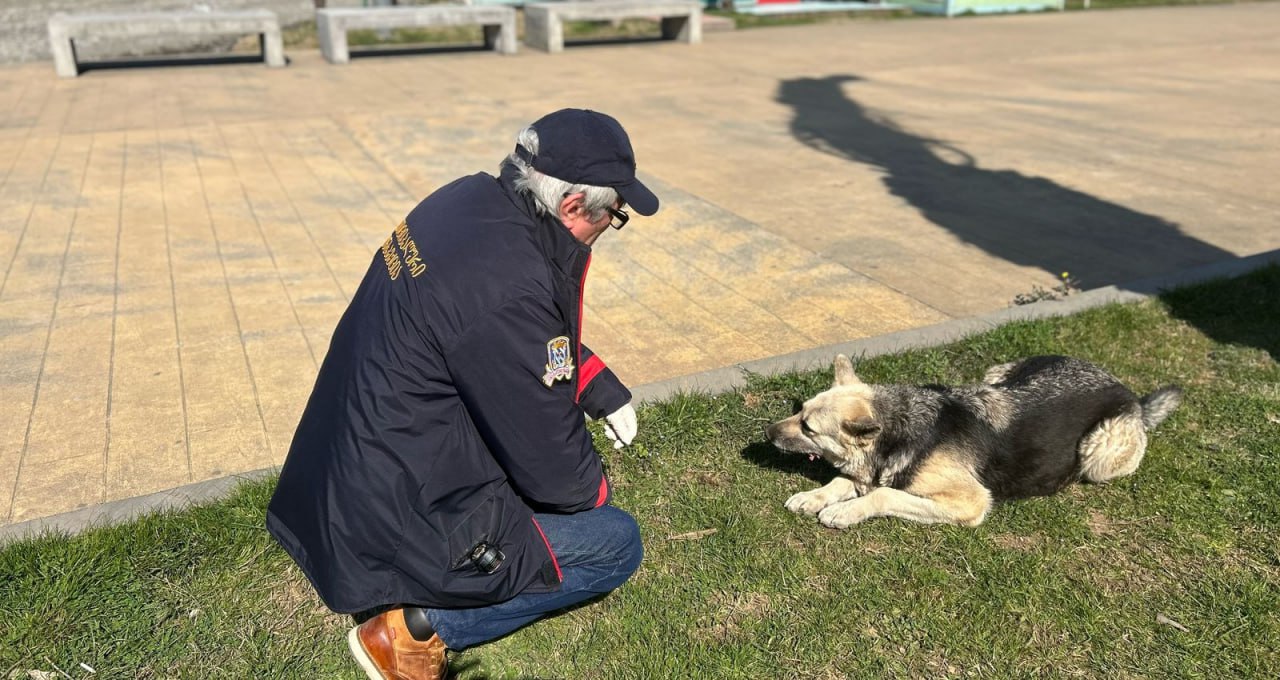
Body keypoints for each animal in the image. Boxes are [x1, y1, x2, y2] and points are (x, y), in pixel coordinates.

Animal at [762, 356, 1182, 532]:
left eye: (808, 427)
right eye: (800, 412)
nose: (767, 433)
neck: (904, 428)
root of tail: (1129, 392)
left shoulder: (970, 501)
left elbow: (884, 495)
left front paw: (846, 511)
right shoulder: (869, 471)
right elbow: (841, 480)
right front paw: (814, 496)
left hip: (1099, 455)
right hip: (997, 374)